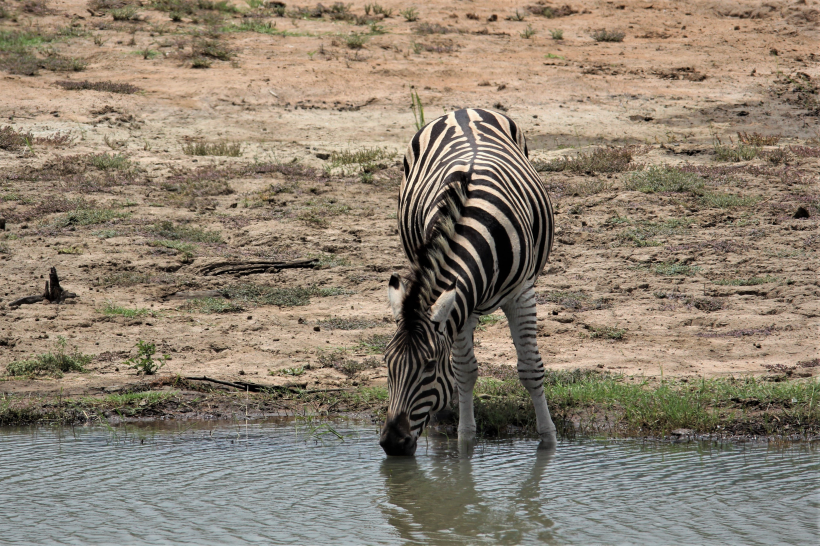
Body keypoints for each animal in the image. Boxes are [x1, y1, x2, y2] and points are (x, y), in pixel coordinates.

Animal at [378, 107, 556, 454]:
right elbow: (464, 370)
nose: (393, 443)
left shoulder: (522, 294)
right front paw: (465, 439)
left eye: (428, 366)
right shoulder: (462, 300)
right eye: (387, 363)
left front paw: (548, 440)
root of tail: (462, 111)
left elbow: (530, 369)